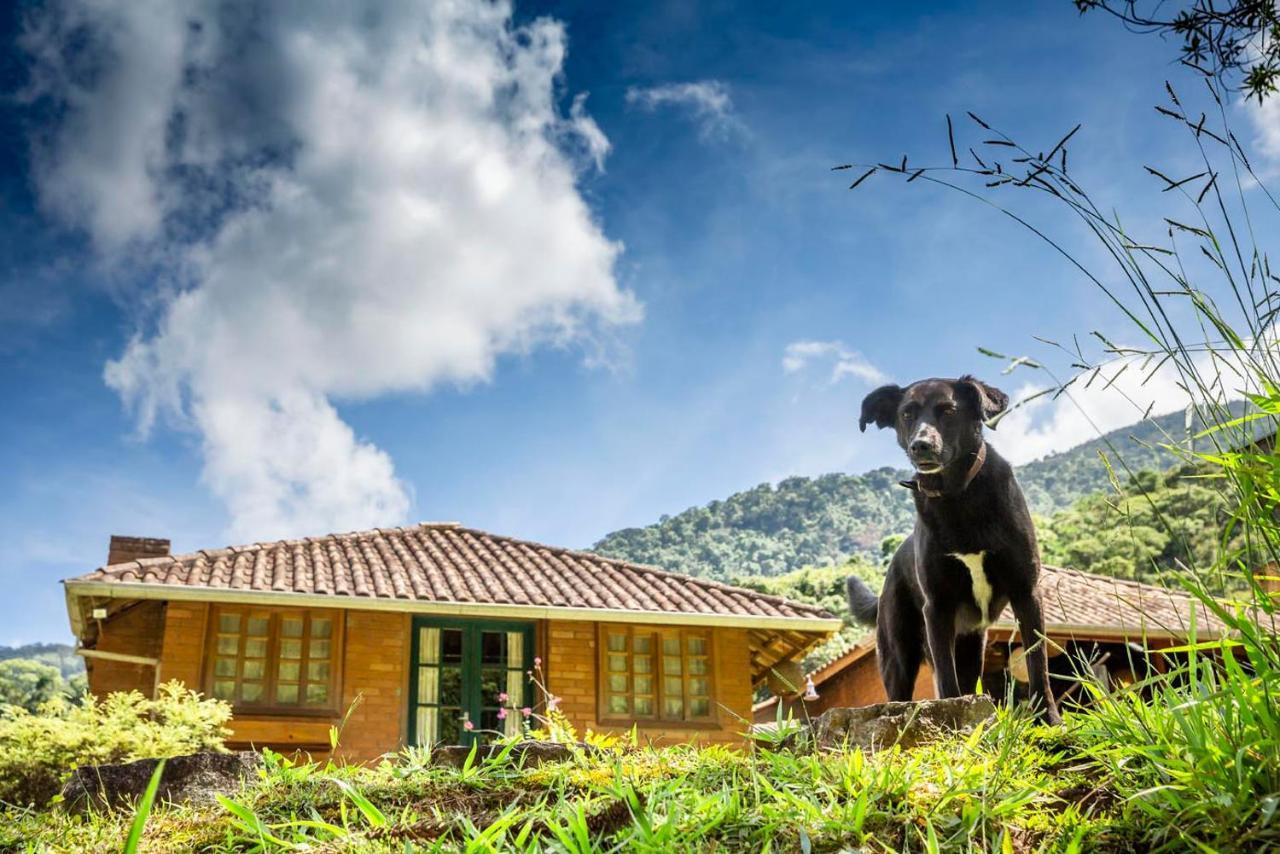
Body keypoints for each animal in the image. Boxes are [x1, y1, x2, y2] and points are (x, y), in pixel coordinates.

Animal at [844, 373, 1064, 722]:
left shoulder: (1027, 593)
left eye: (948, 411)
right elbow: (947, 679)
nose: (921, 445)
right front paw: (949, 718)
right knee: (902, 691)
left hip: (973, 646)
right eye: (907, 414)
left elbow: (1037, 663)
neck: (957, 495)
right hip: (899, 655)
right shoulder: (938, 608)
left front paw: (1050, 719)